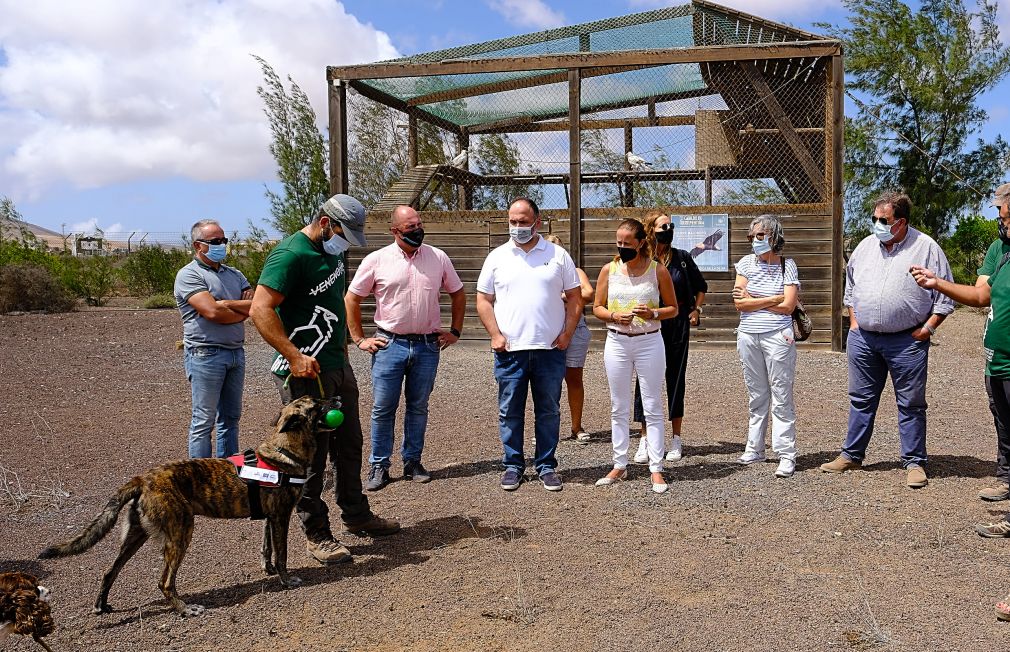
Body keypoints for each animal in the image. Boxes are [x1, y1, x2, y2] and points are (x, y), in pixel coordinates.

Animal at [39, 397, 333, 617]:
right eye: (317, 405)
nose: (337, 398)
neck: (284, 451)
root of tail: (143, 479)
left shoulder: (269, 518)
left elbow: (267, 548)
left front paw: (268, 569)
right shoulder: (281, 517)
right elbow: (282, 554)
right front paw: (286, 580)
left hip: (135, 536)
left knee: (109, 571)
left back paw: (101, 605)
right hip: (181, 533)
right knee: (165, 582)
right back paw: (185, 609)